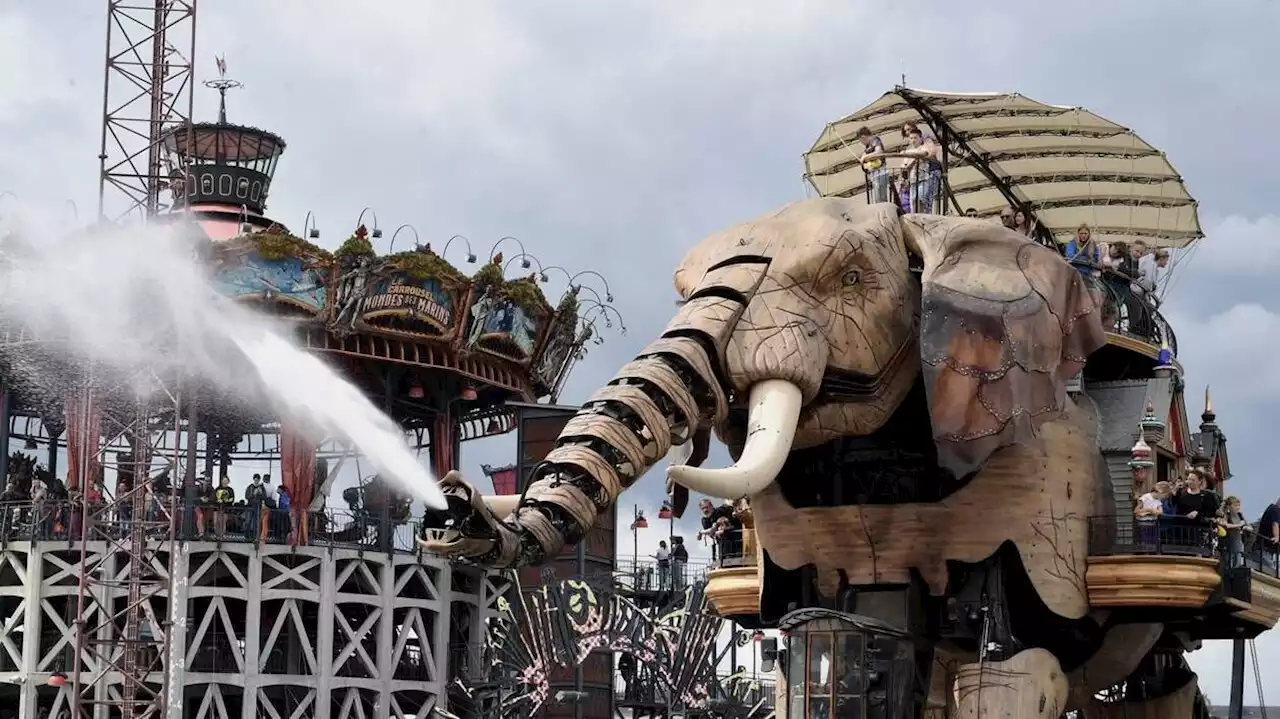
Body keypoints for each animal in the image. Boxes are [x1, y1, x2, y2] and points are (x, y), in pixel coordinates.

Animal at [424, 197, 1182, 716]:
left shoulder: (1038, 506)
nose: (452, 507)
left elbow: (1012, 673)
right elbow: (813, 656)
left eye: (849, 278)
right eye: (680, 291)